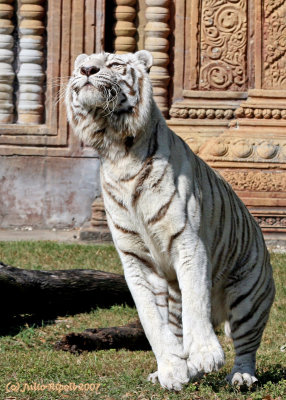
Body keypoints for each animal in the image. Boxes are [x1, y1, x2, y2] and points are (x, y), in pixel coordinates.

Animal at [65, 50, 274, 390]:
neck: (118, 151)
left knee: (245, 346)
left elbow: (196, 301)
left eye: (114, 64)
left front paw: (205, 354)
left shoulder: (188, 242)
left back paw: (240, 376)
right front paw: (172, 370)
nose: (86, 70)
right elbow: (151, 320)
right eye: (80, 67)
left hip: (247, 296)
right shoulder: (136, 260)